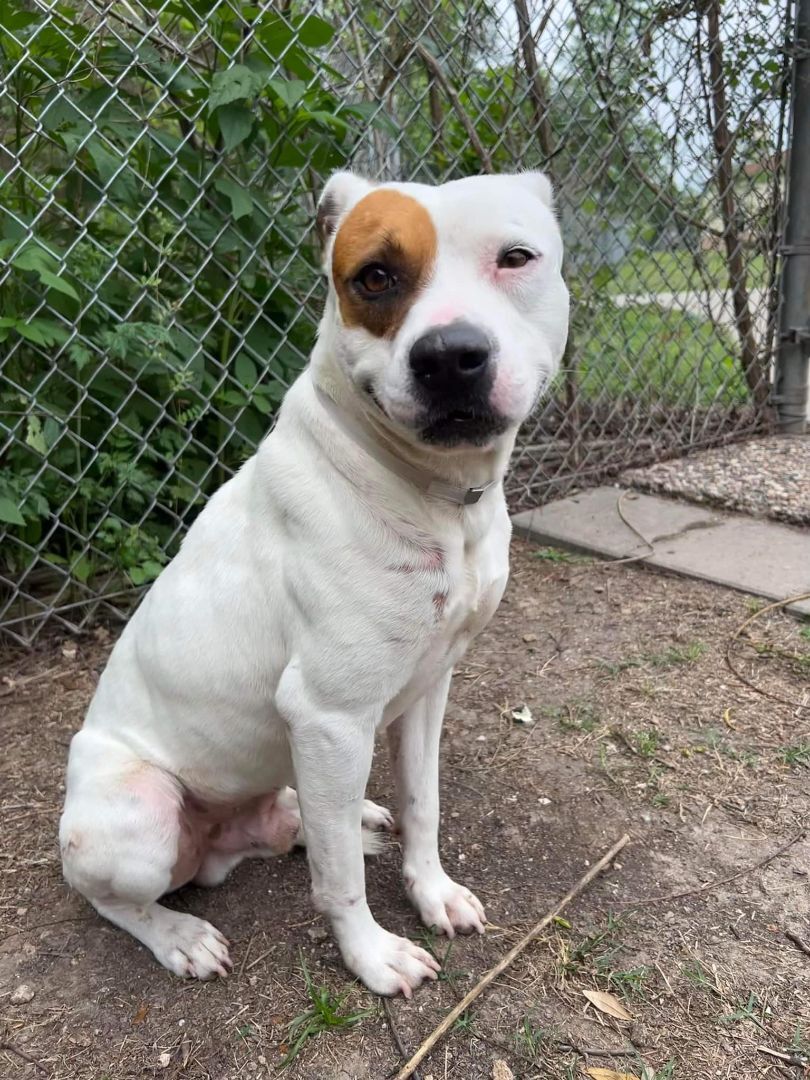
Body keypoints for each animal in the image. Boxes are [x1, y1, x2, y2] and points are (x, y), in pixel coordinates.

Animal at [58, 170, 570, 993]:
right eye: (375, 277)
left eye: (516, 257)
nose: (450, 355)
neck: (435, 496)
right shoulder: (330, 715)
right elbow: (338, 886)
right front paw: (372, 956)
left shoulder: (427, 689)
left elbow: (424, 805)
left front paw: (432, 892)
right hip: (139, 816)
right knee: (115, 899)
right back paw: (180, 936)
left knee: (303, 823)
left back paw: (338, 820)